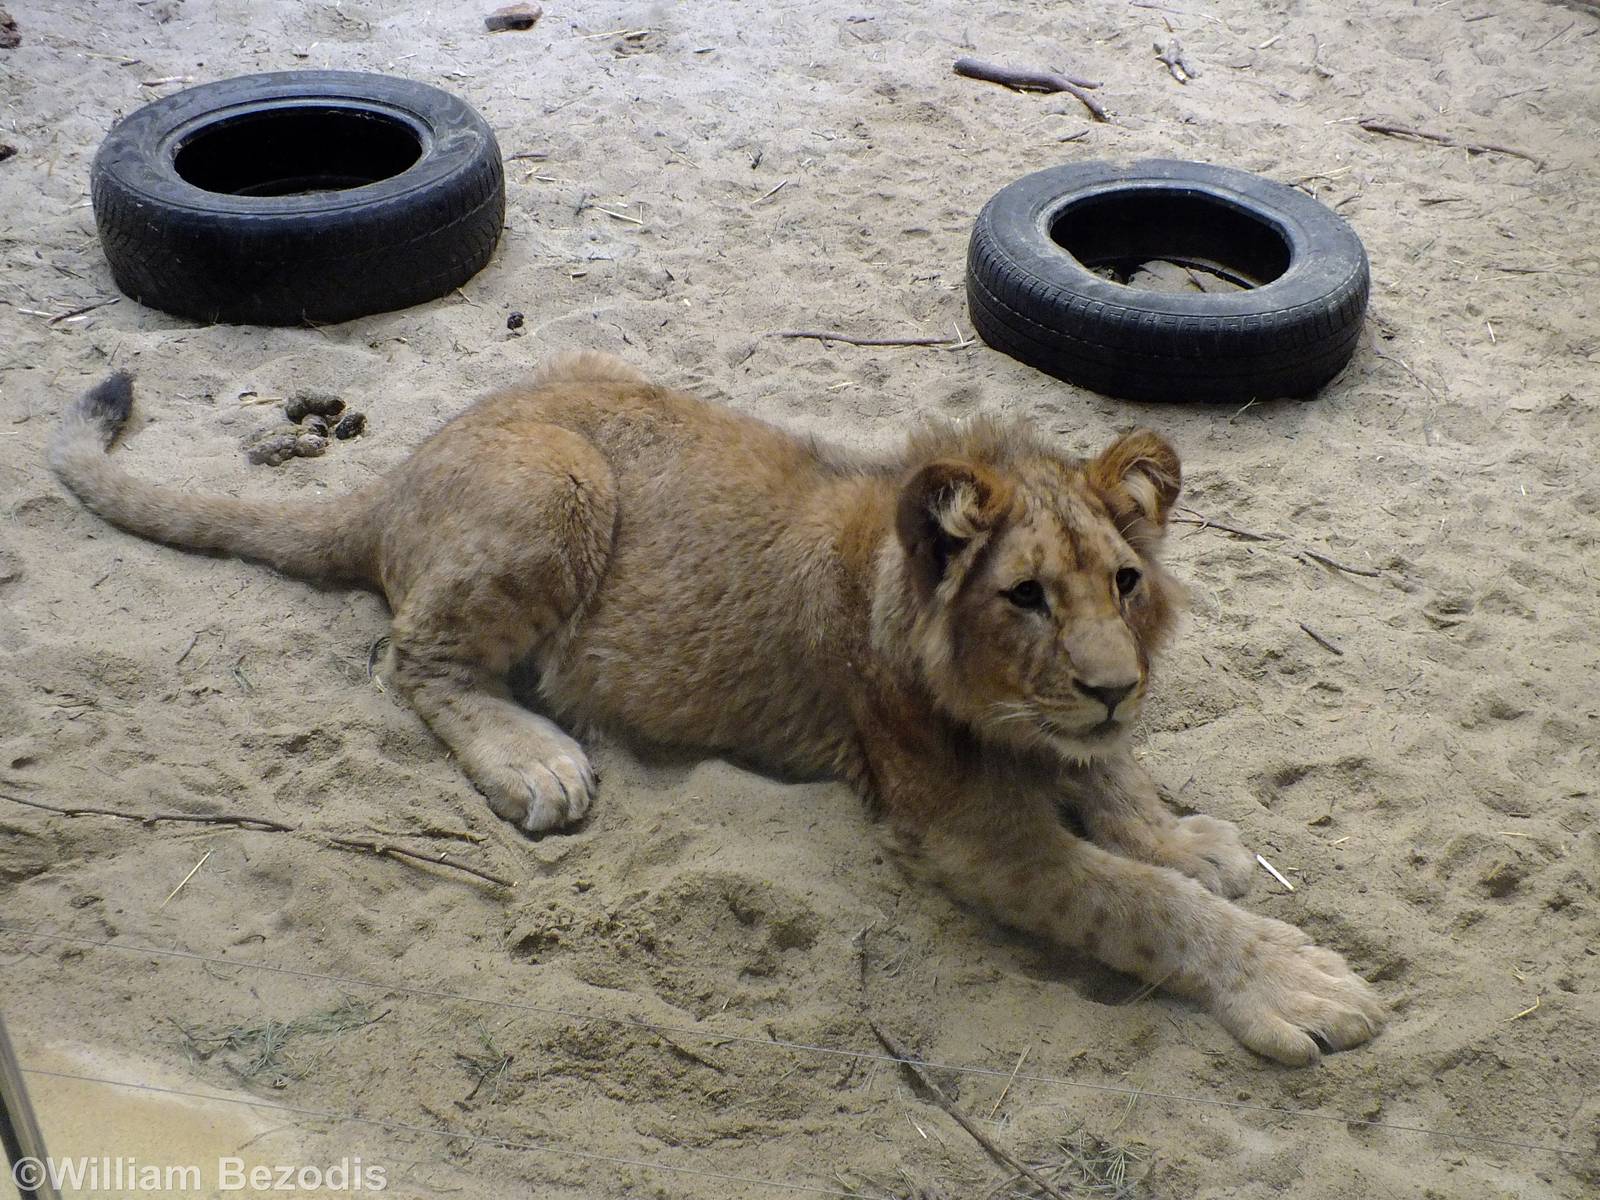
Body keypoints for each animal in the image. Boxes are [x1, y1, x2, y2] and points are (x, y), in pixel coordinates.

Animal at [49, 353, 1383, 1064]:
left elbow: (1123, 794)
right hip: (558, 482)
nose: (1115, 688)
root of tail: (400, 471)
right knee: (412, 660)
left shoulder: (1070, 742)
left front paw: (1191, 837)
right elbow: (1134, 902)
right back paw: (537, 761)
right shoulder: (964, 830)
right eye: (1024, 598)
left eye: (1123, 582)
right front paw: (1292, 980)